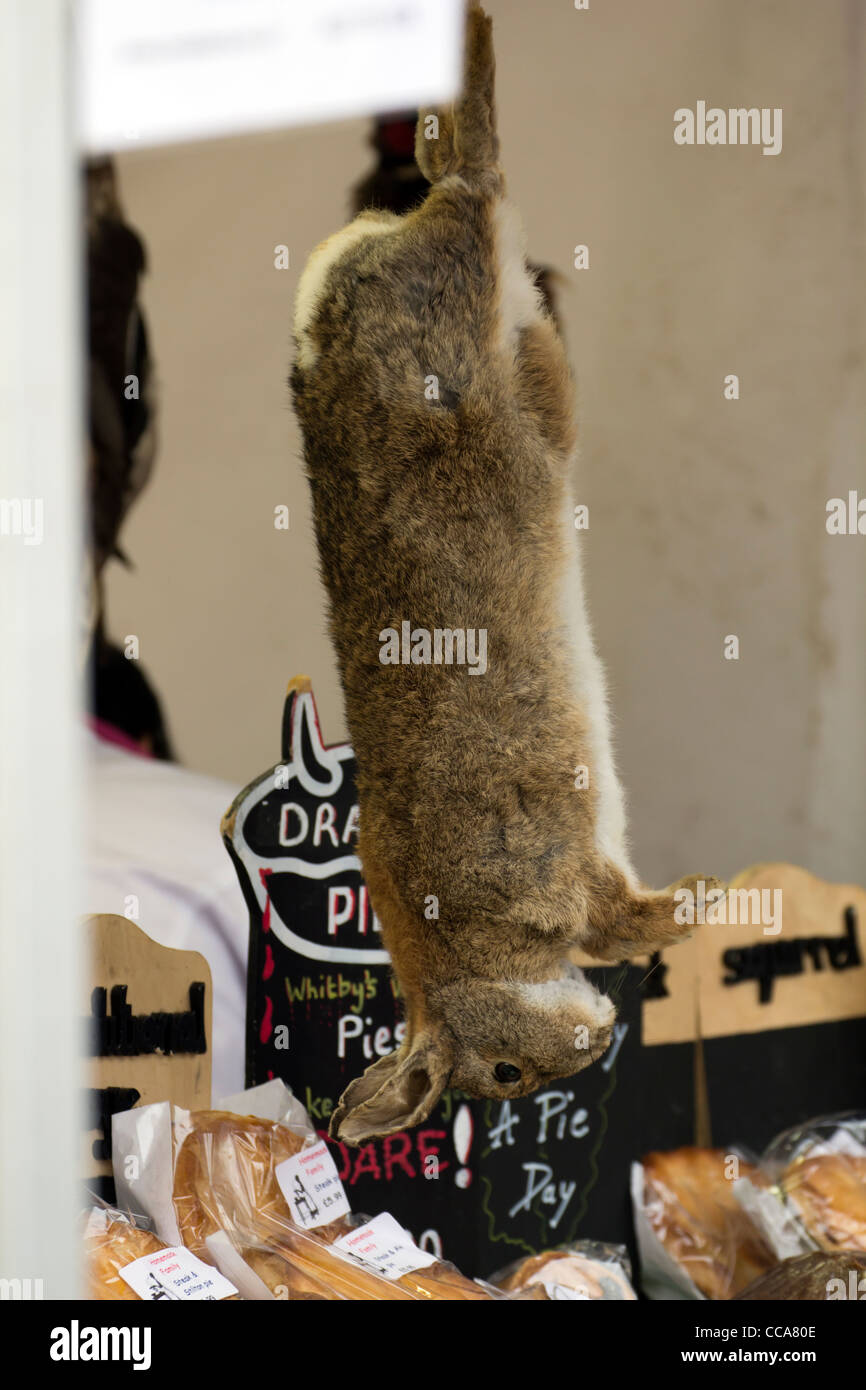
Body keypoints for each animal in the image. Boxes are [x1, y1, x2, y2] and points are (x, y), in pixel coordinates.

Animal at [290, 5, 722, 1146]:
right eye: (507, 1080)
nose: (592, 1043)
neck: (476, 962)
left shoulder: (561, 880)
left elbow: (619, 915)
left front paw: (698, 900)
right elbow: (617, 925)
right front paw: (692, 905)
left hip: (479, 317)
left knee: (474, 193)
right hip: (528, 370)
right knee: (476, 197)